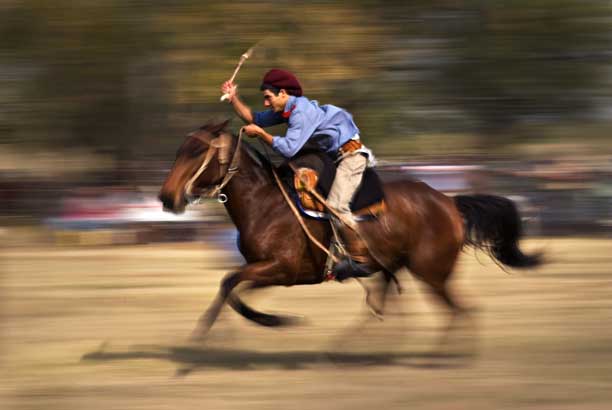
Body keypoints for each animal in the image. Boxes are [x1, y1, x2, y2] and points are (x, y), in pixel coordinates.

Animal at [158, 121, 540, 340]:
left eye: (196, 150)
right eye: (179, 149)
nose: (167, 196)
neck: (265, 203)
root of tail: (449, 203)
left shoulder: (281, 268)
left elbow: (229, 283)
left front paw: (266, 322)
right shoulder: (268, 270)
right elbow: (233, 289)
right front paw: (272, 320)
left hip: (431, 271)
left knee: (460, 310)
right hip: (393, 266)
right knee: (385, 306)